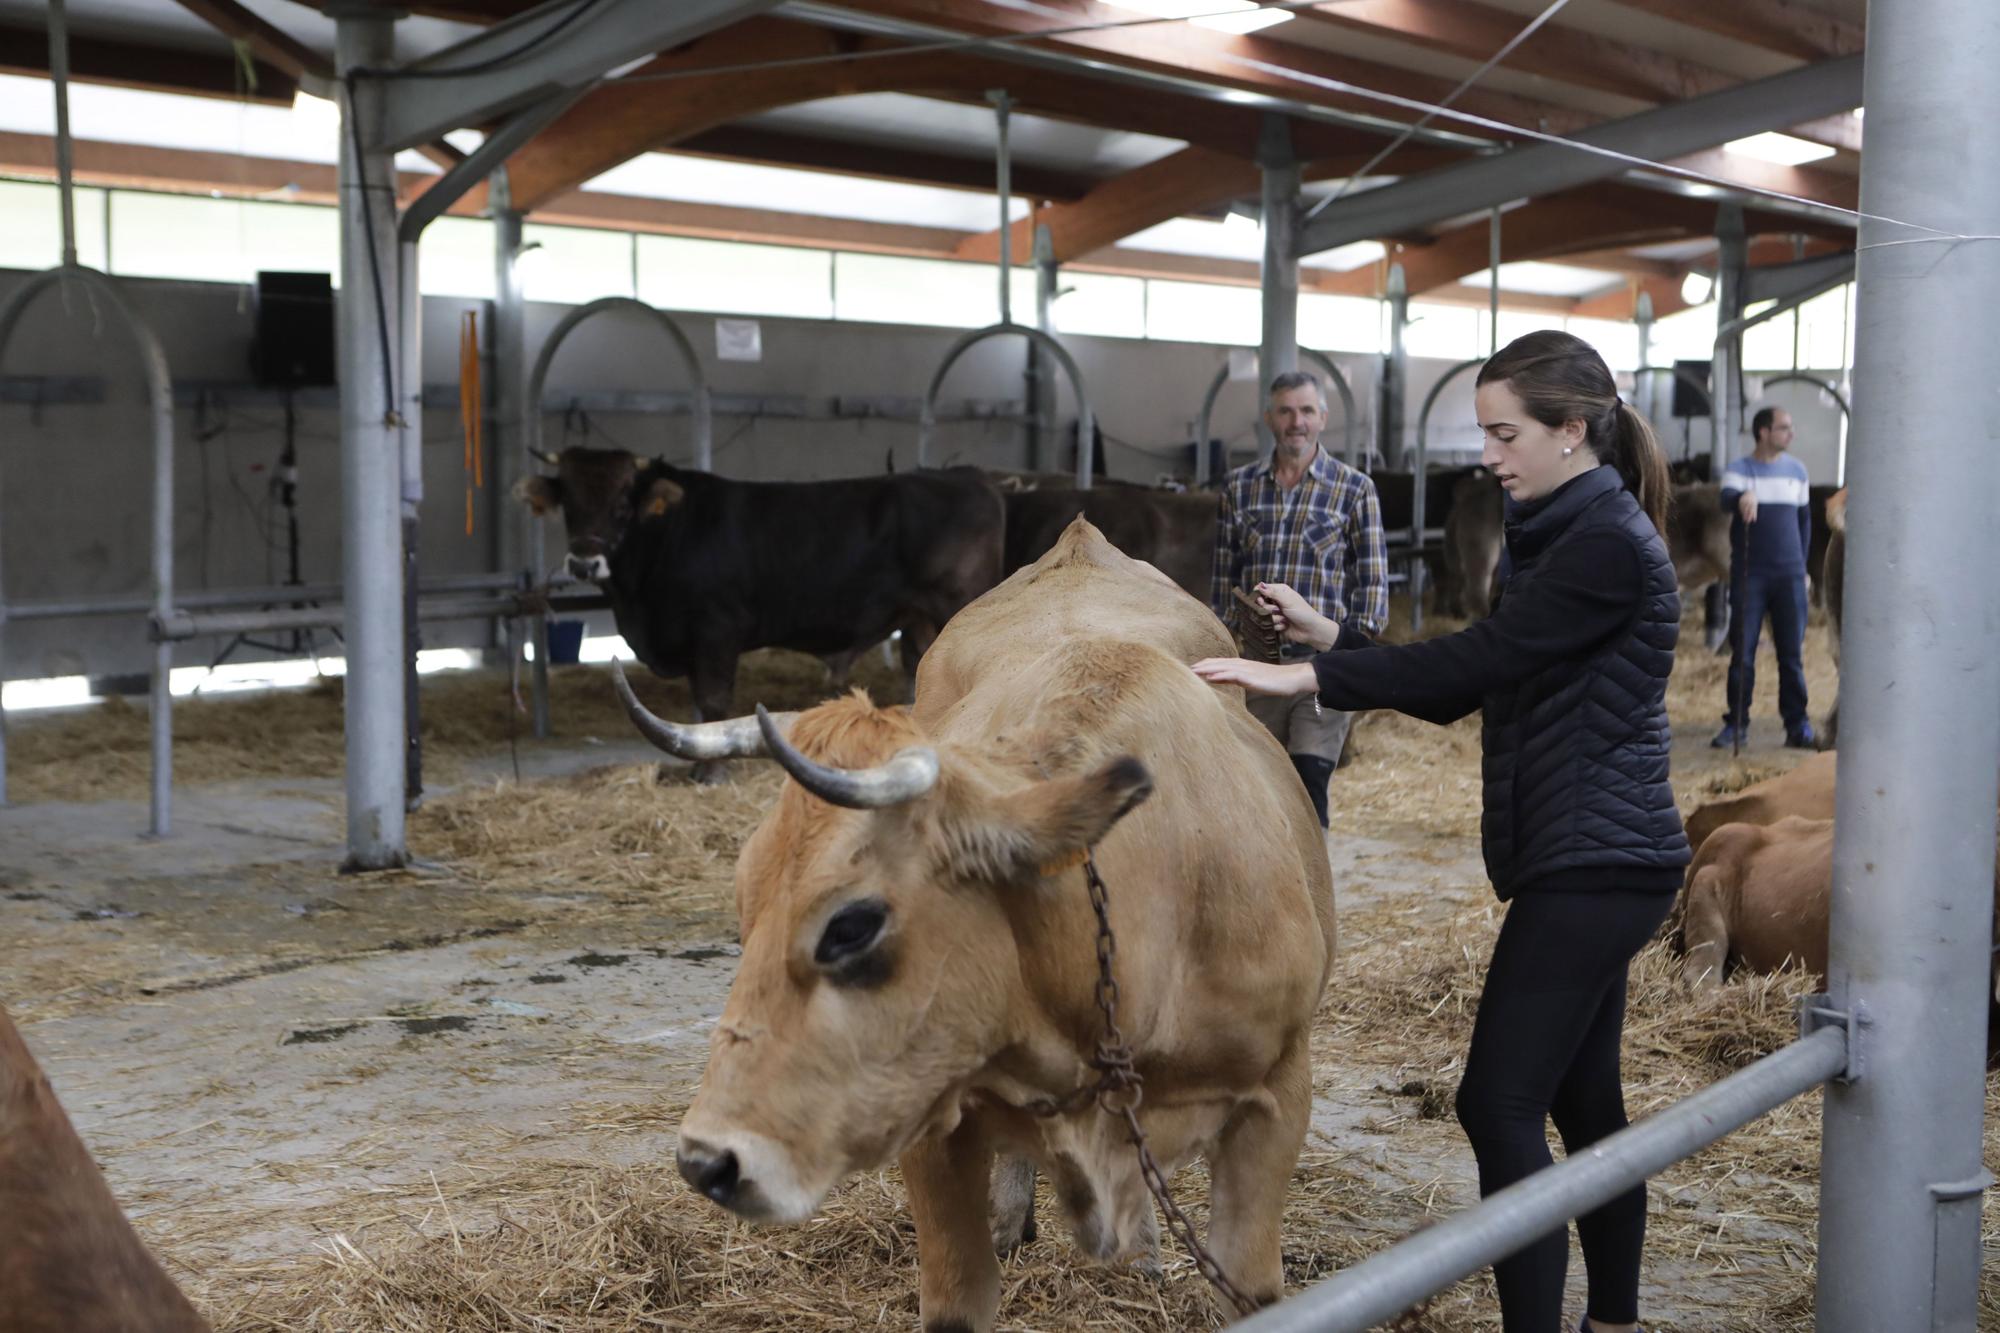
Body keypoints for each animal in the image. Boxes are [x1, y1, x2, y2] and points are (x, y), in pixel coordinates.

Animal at [616, 512, 1336, 1320]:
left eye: (851, 925)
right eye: (744, 904)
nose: (706, 1161)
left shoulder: (1279, 1098)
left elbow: (1255, 1285)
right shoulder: (929, 1119)